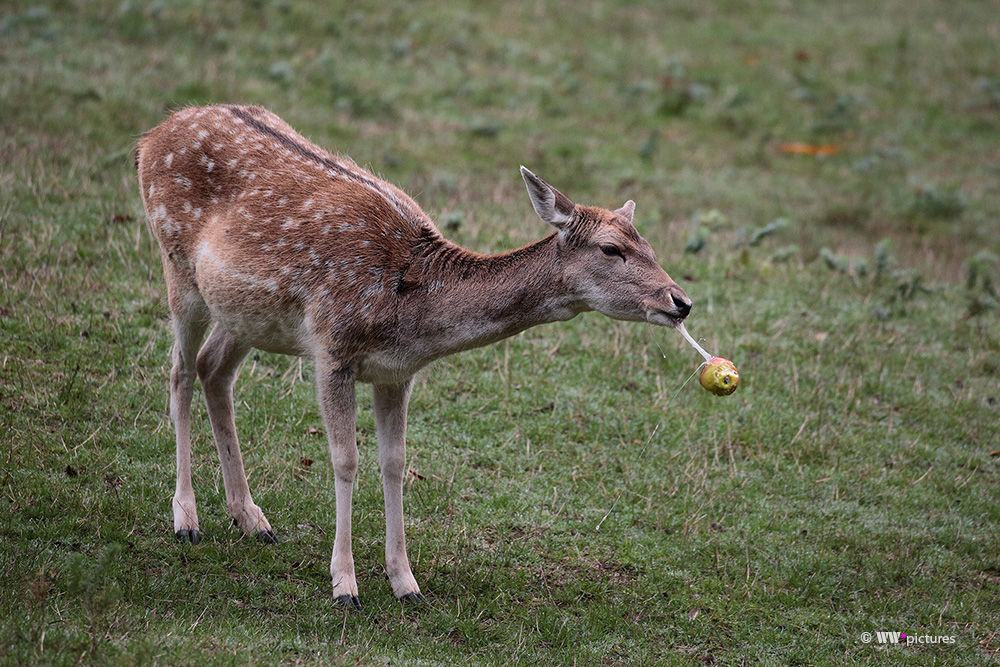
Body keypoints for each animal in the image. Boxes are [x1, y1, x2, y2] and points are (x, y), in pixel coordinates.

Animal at [137, 105, 692, 612]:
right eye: (611, 248)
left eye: (648, 243)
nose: (681, 301)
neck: (409, 311)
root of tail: (151, 135)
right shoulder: (331, 347)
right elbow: (345, 460)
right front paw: (345, 585)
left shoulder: (396, 372)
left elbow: (395, 462)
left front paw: (406, 582)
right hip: (176, 264)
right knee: (180, 371)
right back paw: (186, 519)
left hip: (245, 313)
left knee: (214, 370)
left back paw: (252, 519)